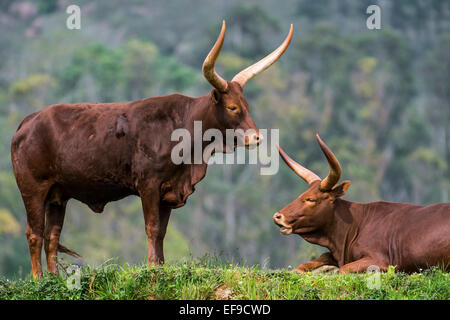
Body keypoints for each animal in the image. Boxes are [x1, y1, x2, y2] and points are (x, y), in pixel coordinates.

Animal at [10, 21, 294, 278]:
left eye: (247, 105)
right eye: (233, 107)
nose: (256, 138)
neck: (185, 128)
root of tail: (27, 123)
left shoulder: (168, 190)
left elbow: (162, 232)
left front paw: (160, 266)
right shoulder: (148, 184)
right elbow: (153, 227)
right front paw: (152, 268)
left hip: (58, 194)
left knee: (52, 235)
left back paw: (54, 279)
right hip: (33, 188)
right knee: (34, 233)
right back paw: (38, 280)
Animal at [272, 134, 450, 274]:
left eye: (310, 199)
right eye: (301, 195)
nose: (278, 216)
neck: (356, 225)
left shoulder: (379, 261)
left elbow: (343, 269)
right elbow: (305, 265)